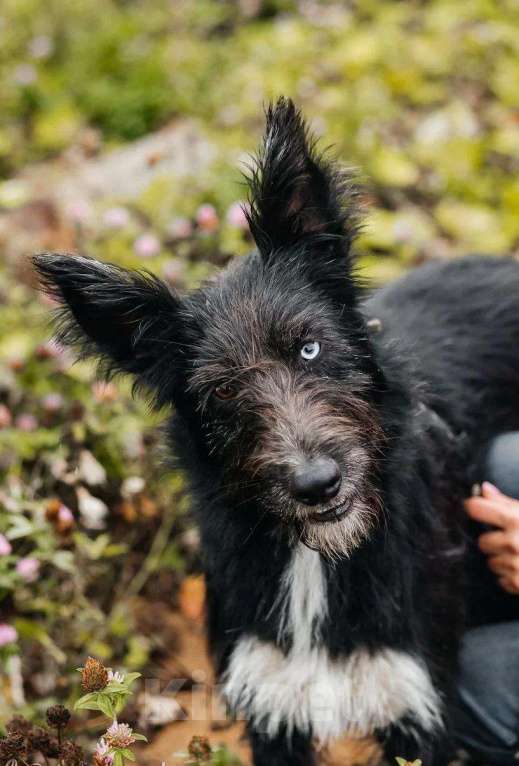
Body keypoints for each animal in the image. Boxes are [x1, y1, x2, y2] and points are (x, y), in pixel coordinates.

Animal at [34, 97, 519, 766]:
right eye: (223, 392)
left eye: (309, 348)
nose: (317, 484)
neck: (313, 557)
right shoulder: (272, 701)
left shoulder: (419, 707)